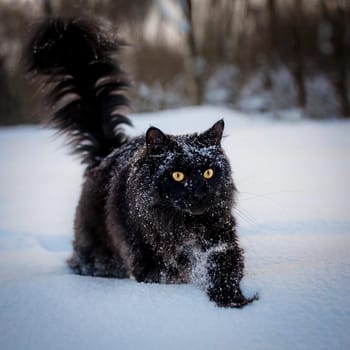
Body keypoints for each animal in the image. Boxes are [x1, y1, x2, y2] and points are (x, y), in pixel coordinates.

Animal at [25, 17, 258, 306]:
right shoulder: (149, 261)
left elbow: (225, 271)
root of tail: (108, 153)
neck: (183, 226)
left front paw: (234, 301)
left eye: (208, 173)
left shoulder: (221, 242)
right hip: (101, 256)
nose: (199, 192)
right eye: (178, 175)